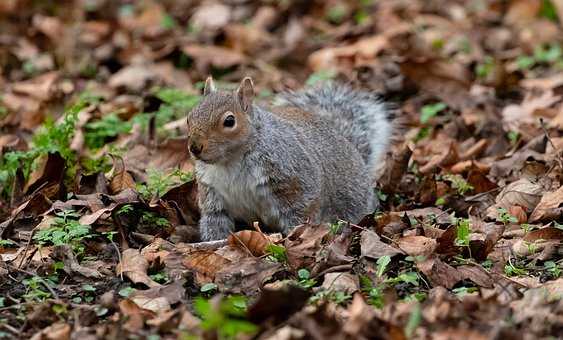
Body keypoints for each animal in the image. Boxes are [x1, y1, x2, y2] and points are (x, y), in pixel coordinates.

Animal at [187, 77, 394, 242]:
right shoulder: (212, 192)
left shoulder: (292, 176)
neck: (230, 162)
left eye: (229, 121)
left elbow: (301, 210)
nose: (194, 147)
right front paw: (214, 243)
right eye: (189, 117)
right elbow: (215, 219)